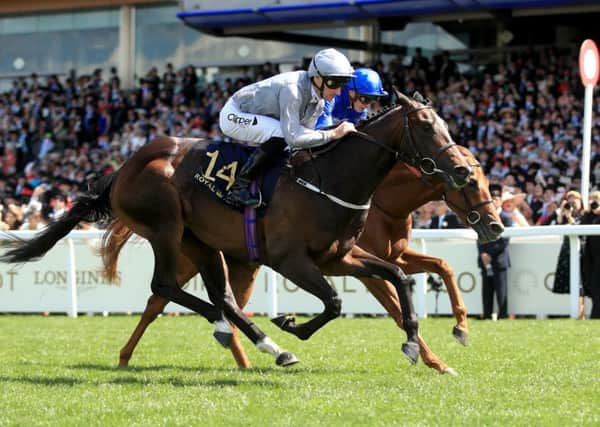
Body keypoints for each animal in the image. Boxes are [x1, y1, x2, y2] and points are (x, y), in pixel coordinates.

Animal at [110, 145, 500, 372]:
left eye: (485, 179)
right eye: (469, 181)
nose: (495, 225)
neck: (382, 201)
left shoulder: (394, 254)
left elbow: (442, 267)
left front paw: (460, 328)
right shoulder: (362, 269)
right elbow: (393, 306)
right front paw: (434, 359)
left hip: (237, 263)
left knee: (225, 302)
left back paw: (245, 354)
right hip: (187, 248)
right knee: (160, 297)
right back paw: (127, 355)